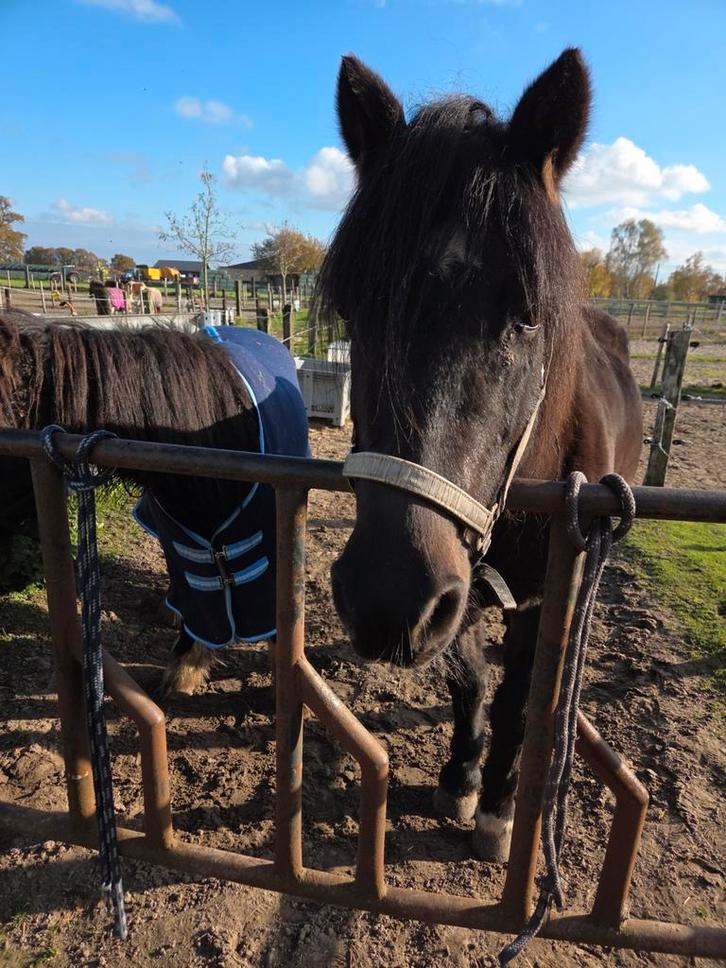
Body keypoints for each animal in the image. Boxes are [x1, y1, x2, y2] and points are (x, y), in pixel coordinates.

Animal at [319, 49, 643, 862]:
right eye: (352, 310)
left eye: (526, 318)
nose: (385, 596)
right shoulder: (453, 586)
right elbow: (468, 679)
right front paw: (461, 779)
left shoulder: (538, 597)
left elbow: (519, 698)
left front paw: (497, 807)